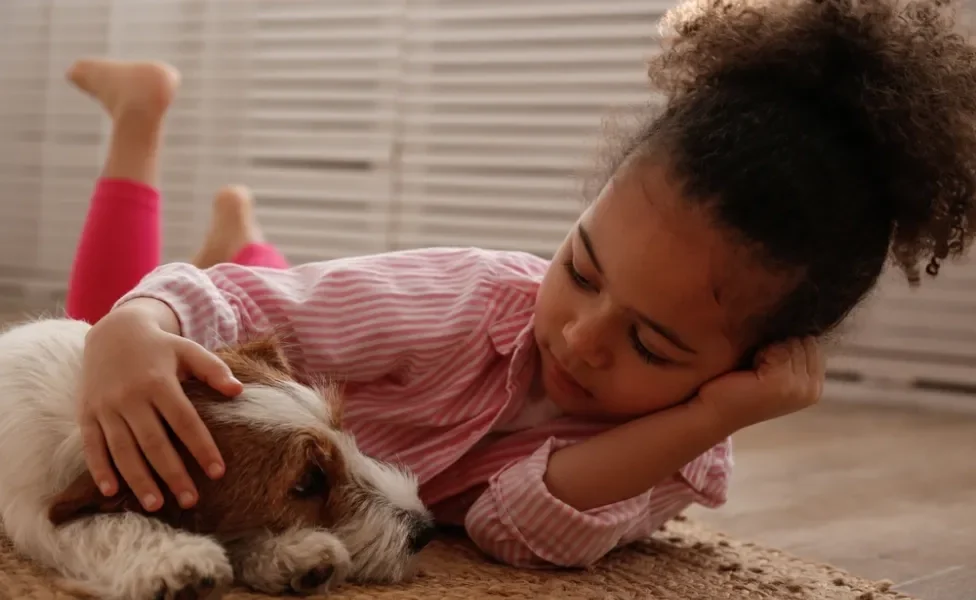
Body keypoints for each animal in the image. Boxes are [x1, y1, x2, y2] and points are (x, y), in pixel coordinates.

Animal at [0, 316, 434, 596]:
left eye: (343, 429)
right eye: (309, 482)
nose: (427, 529)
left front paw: (291, 553)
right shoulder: (40, 512)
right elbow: (115, 525)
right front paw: (178, 560)